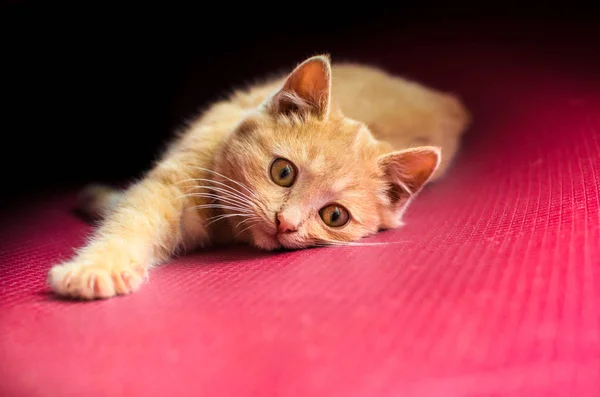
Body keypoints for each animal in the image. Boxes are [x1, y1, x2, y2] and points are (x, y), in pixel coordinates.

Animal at [48, 54, 468, 298]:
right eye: (283, 172)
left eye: (334, 215)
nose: (286, 223)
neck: (226, 225)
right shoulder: (177, 177)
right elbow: (134, 216)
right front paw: (97, 268)